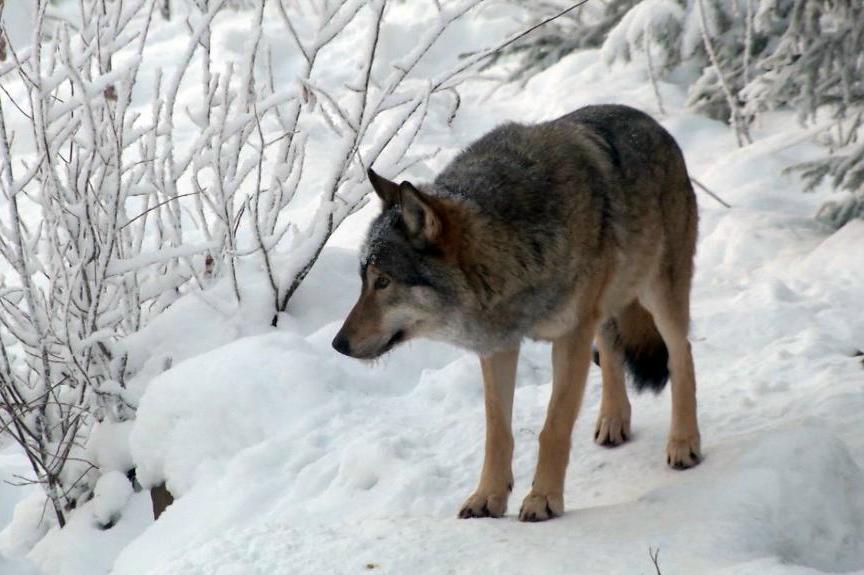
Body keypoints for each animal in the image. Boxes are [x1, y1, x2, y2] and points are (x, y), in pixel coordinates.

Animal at [330, 103, 704, 520]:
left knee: (681, 354)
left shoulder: (570, 337)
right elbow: (497, 431)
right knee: (611, 349)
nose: (338, 344)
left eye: (383, 282)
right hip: (607, 307)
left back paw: (684, 442)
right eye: (363, 280)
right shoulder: (498, 347)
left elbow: (553, 427)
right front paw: (488, 498)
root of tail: (651, 121)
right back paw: (612, 421)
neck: (513, 251)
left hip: (659, 294)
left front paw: (542, 499)